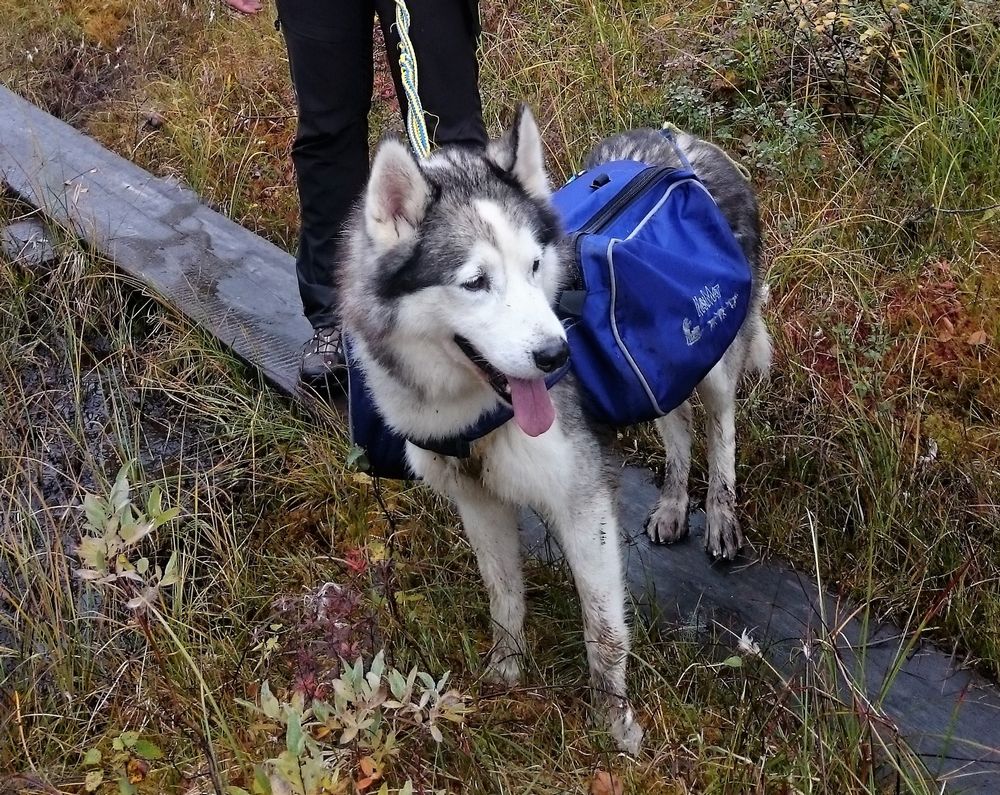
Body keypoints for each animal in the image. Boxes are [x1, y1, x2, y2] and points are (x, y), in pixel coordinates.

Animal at [340, 105, 768, 752]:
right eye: (475, 282)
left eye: (535, 266)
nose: (556, 355)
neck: (469, 412)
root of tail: (683, 142)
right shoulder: (477, 501)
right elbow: (504, 595)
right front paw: (505, 674)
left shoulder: (582, 504)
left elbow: (603, 628)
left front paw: (616, 727)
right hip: (659, 370)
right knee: (679, 429)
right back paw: (673, 505)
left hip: (711, 361)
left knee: (719, 431)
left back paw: (720, 517)